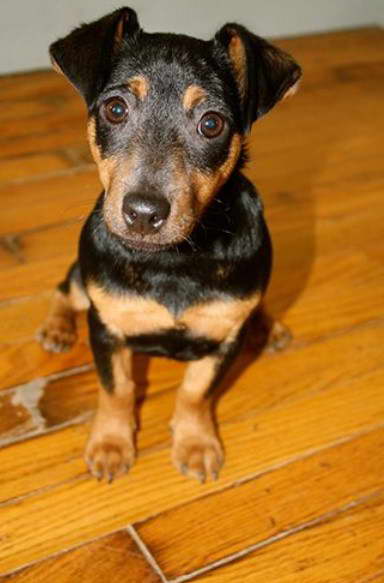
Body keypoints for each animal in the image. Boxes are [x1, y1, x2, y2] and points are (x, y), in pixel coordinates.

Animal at [38, 8, 304, 484]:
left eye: (212, 123)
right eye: (116, 109)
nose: (143, 212)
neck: (173, 260)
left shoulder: (225, 338)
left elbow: (196, 392)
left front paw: (195, 444)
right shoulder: (106, 326)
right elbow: (117, 389)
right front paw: (111, 445)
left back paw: (269, 326)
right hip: (84, 282)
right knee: (65, 288)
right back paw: (56, 328)